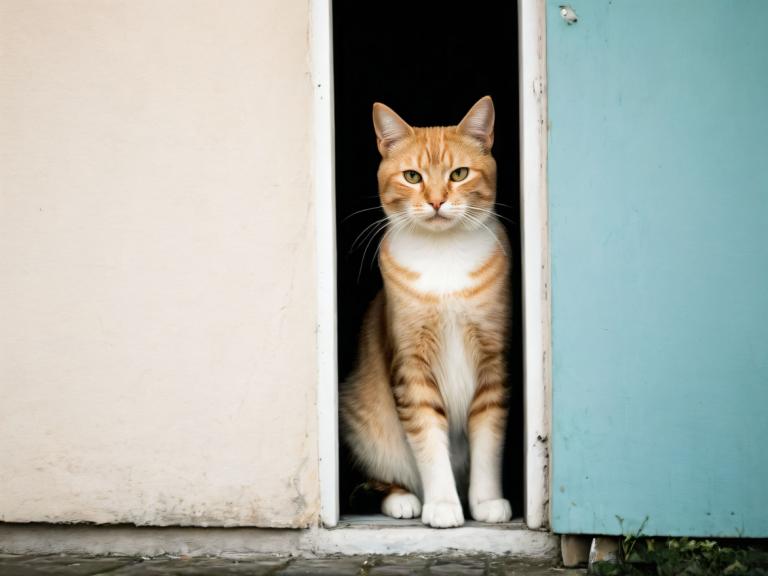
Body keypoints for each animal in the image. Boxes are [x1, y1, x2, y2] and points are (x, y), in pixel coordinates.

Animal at [340, 97, 510, 528]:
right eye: (412, 176)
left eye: (459, 173)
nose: (435, 201)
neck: (442, 253)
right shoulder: (411, 368)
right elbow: (429, 441)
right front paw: (444, 505)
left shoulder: (493, 361)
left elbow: (488, 439)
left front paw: (486, 501)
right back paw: (401, 499)